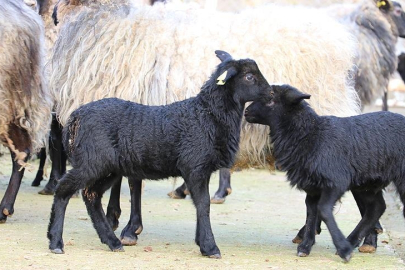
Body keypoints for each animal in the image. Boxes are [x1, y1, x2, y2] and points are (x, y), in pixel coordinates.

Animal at [46, 49, 272, 258]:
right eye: (249, 76)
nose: (271, 94)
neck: (208, 115)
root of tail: (75, 117)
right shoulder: (195, 166)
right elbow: (203, 204)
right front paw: (210, 247)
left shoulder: (202, 169)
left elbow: (201, 205)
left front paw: (201, 241)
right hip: (92, 162)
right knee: (64, 189)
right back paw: (56, 241)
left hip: (107, 168)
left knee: (91, 196)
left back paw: (112, 242)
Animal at [243, 84, 405, 262]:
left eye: (271, 98)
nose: (246, 111)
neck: (311, 135)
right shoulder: (313, 187)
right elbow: (311, 212)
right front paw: (305, 246)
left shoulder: (335, 182)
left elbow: (324, 210)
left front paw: (343, 249)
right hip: (367, 183)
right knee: (376, 208)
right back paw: (352, 241)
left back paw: (350, 243)